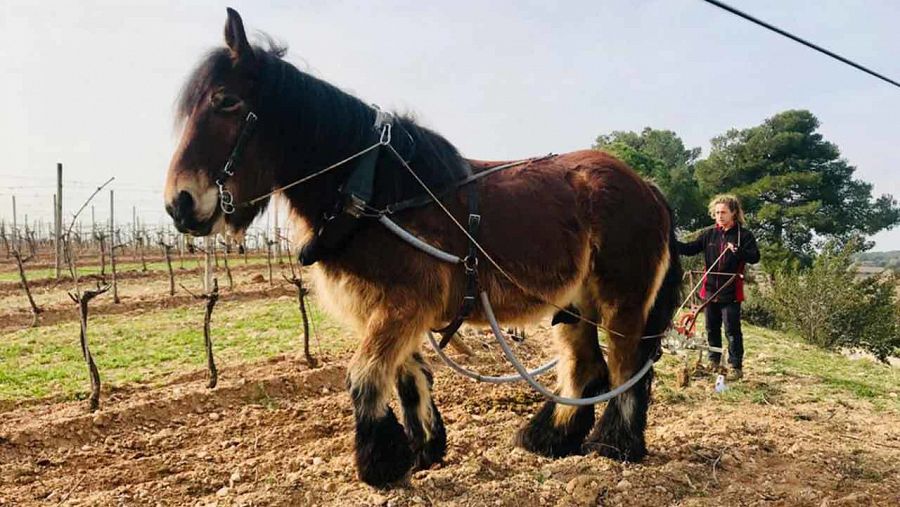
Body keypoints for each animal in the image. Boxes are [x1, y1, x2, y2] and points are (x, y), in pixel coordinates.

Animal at [163, 8, 684, 488]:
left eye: (226, 101)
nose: (178, 203)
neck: (373, 191)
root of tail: (649, 188)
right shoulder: (390, 309)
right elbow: (406, 376)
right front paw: (422, 450)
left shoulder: (403, 304)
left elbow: (365, 376)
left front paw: (380, 464)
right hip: (574, 304)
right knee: (585, 368)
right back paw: (550, 439)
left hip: (621, 301)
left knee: (627, 366)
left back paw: (615, 446)